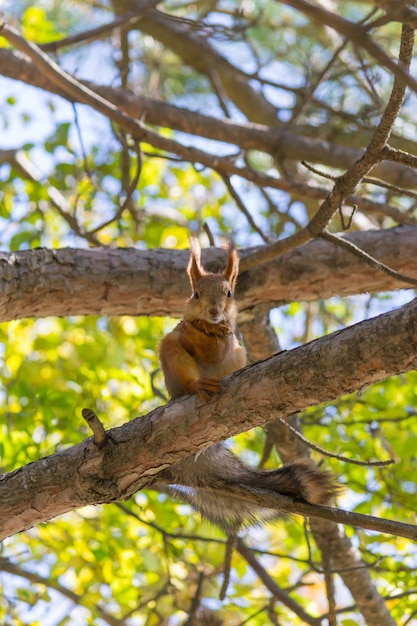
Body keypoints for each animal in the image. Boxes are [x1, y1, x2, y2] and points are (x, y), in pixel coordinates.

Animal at [157, 239, 338, 532]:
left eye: (229, 293)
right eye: (195, 294)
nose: (214, 311)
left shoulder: (230, 341)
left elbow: (218, 345)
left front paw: (214, 330)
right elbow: (186, 331)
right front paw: (194, 327)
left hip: (239, 356)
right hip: (173, 362)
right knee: (184, 371)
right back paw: (199, 385)